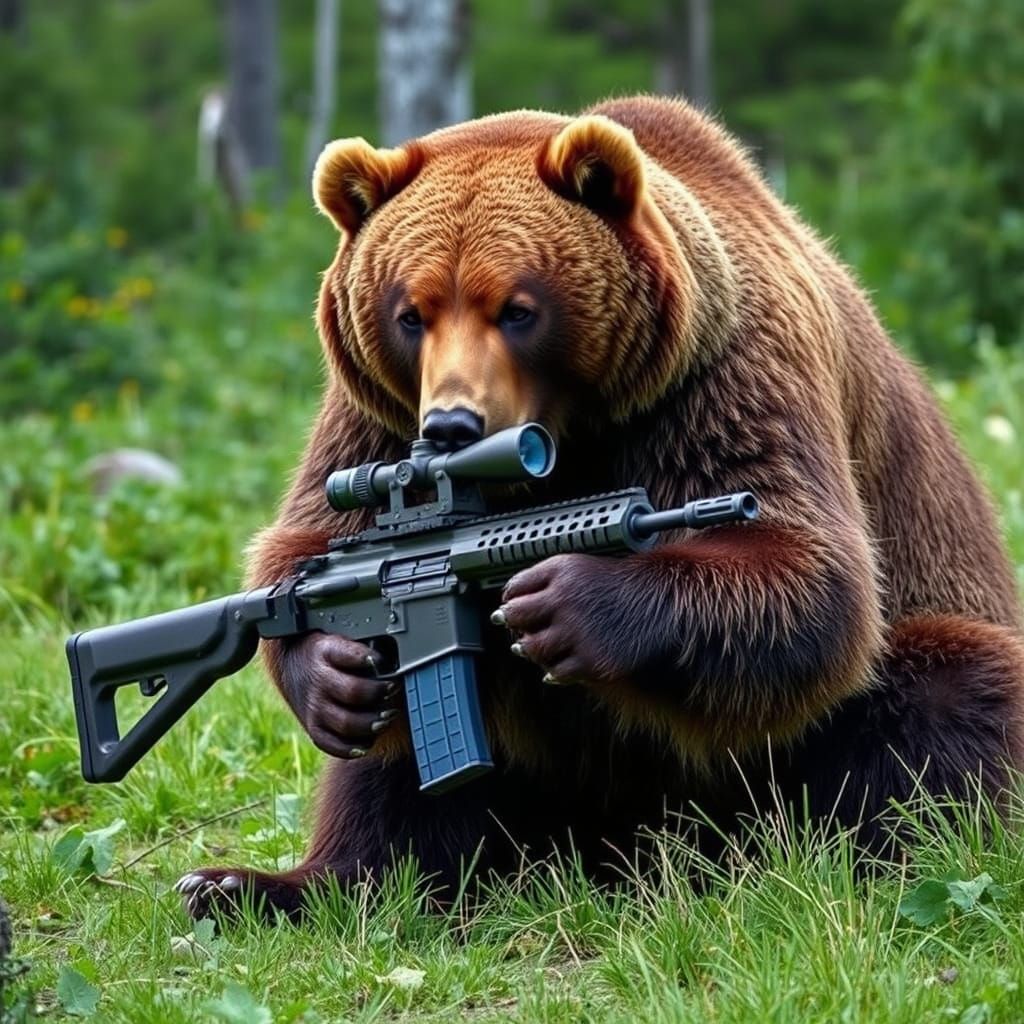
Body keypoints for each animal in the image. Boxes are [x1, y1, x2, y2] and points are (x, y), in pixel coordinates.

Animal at [176, 95, 1024, 921]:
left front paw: (567, 601)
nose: (451, 425)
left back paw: (882, 864)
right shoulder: (372, 419)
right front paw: (333, 677)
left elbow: (810, 573)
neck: (571, 432)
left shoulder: (723, 377)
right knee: (399, 773)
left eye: (517, 308)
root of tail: (624, 859)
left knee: (944, 693)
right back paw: (260, 885)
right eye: (410, 312)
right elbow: (308, 534)